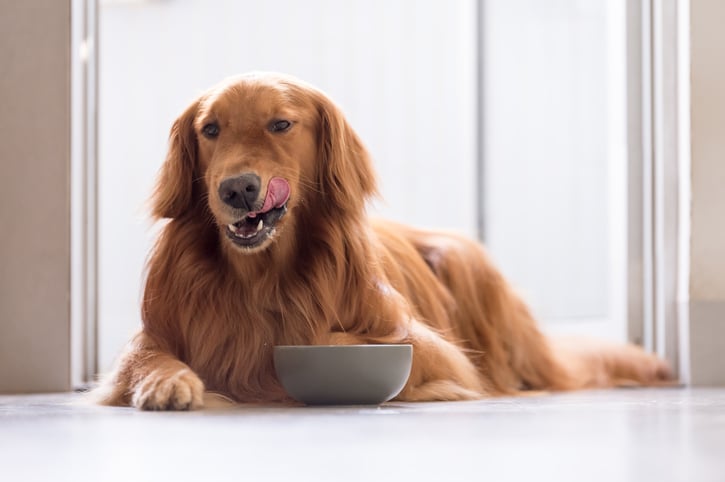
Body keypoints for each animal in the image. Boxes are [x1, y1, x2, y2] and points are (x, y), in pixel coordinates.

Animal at [93, 72, 672, 410]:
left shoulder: (437, 350)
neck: (261, 275)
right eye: (210, 130)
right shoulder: (154, 332)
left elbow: (324, 339)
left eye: (281, 124)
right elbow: (145, 358)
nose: (237, 189)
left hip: (463, 261)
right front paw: (168, 381)